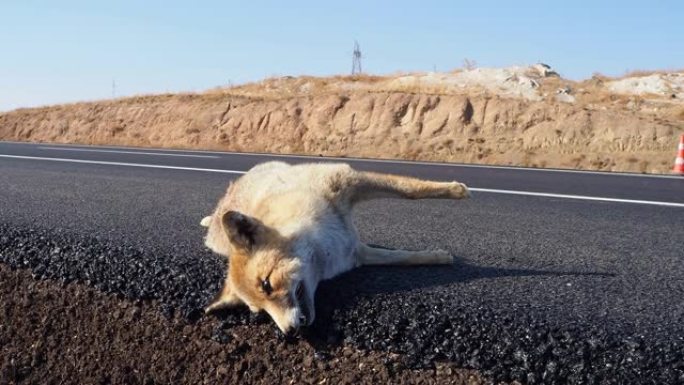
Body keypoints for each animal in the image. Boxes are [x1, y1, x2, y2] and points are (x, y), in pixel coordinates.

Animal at [202, 160, 470, 334]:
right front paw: (438, 257)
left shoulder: (349, 180)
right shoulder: (357, 254)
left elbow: (411, 190)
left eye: (267, 285)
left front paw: (455, 190)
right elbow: (404, 258)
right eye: (260, 312)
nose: (289, 333)